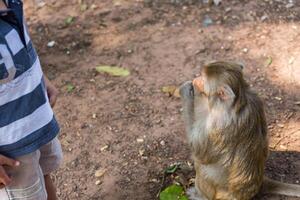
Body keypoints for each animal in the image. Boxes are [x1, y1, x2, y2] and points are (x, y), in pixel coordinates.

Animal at [179, 61, 300, 200]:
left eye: (203, 79)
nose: (196, 79)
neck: (237, 101)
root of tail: (260, 183)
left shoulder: (217, 121)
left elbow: (200, 152)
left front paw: (187, 92)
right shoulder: (256, 99)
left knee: (202, 166)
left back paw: (199, 195)